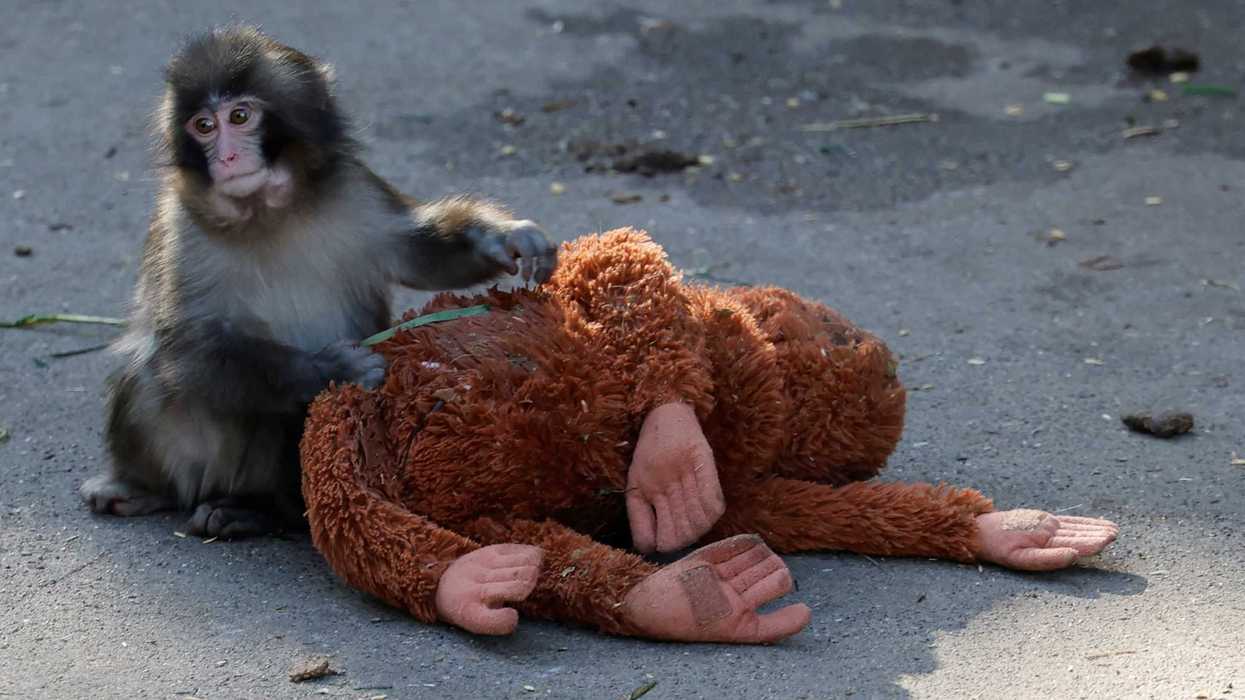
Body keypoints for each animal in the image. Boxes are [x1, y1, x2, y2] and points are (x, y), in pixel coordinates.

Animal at [79, 26, 557, 539]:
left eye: (240, 116)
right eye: (203, 126)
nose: (227, 156)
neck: (267, 213)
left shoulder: (353, 190)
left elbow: (420, 254)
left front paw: (504, 237)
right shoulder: (180, 229)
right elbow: (184, 348)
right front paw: (333, 368)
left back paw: (257, 509)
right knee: (148, 374)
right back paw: (150, 488)